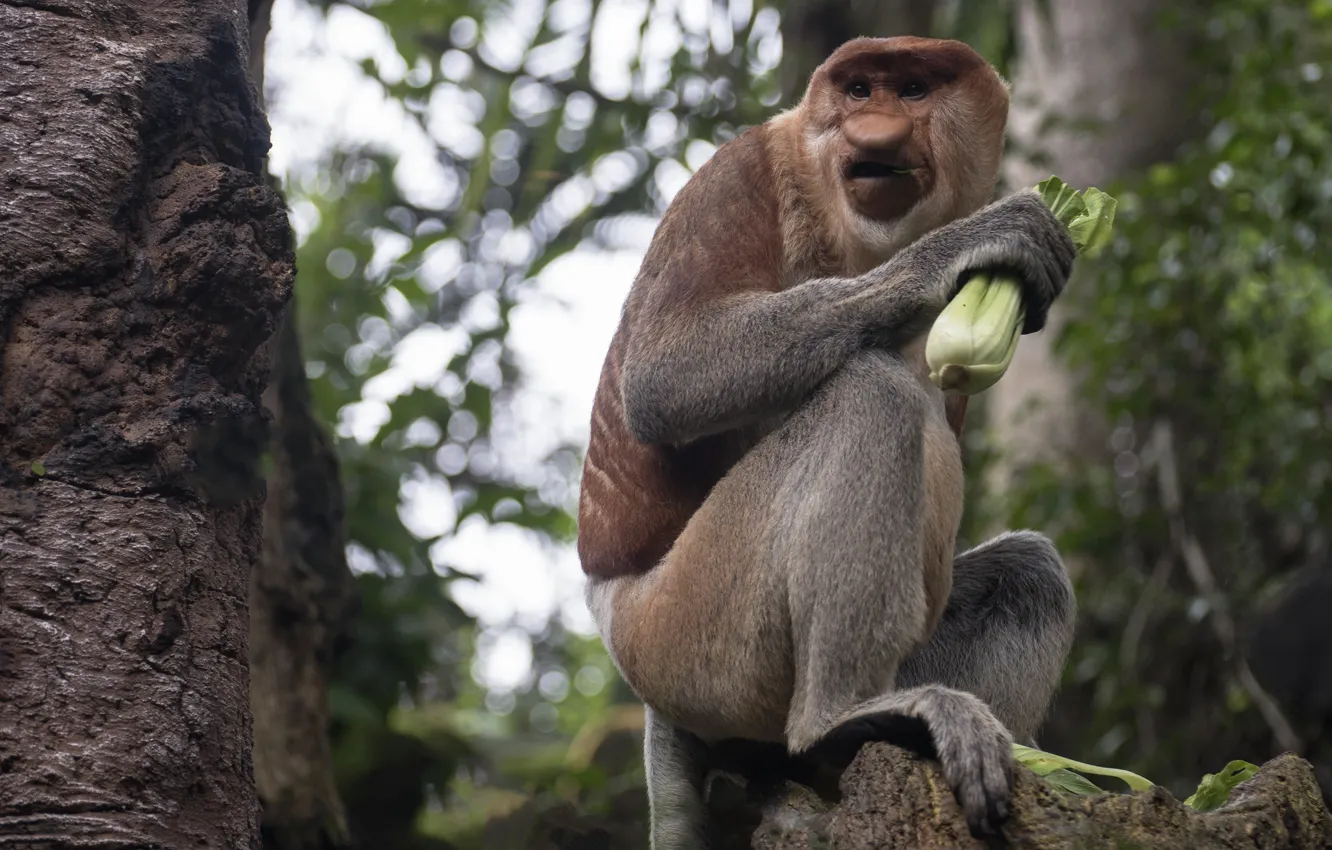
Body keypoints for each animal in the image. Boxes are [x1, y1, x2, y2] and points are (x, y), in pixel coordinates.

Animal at [576, 36, 1079, 846]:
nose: (875, 133)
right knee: (869, 394)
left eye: (913, 90)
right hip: (684, 629)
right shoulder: (734, 176)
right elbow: (663, 373)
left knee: (1029, 572)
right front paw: (972, 247)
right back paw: (849, 718)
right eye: (860, 90)